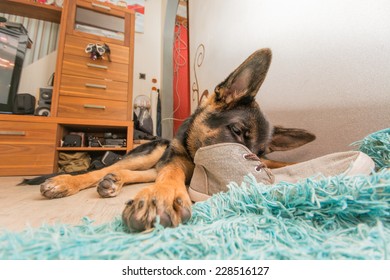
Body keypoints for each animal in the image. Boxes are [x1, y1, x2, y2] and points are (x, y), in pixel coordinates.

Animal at [38, 48, 316, 232]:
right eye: (236, 130)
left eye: (260, 154)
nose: (251, 185)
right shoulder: (175, 160)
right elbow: (170, 174)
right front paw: (163, 195)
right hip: (152, 152)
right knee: (109, 169)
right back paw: (66, 182)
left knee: (137, 172)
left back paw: (114, 181)